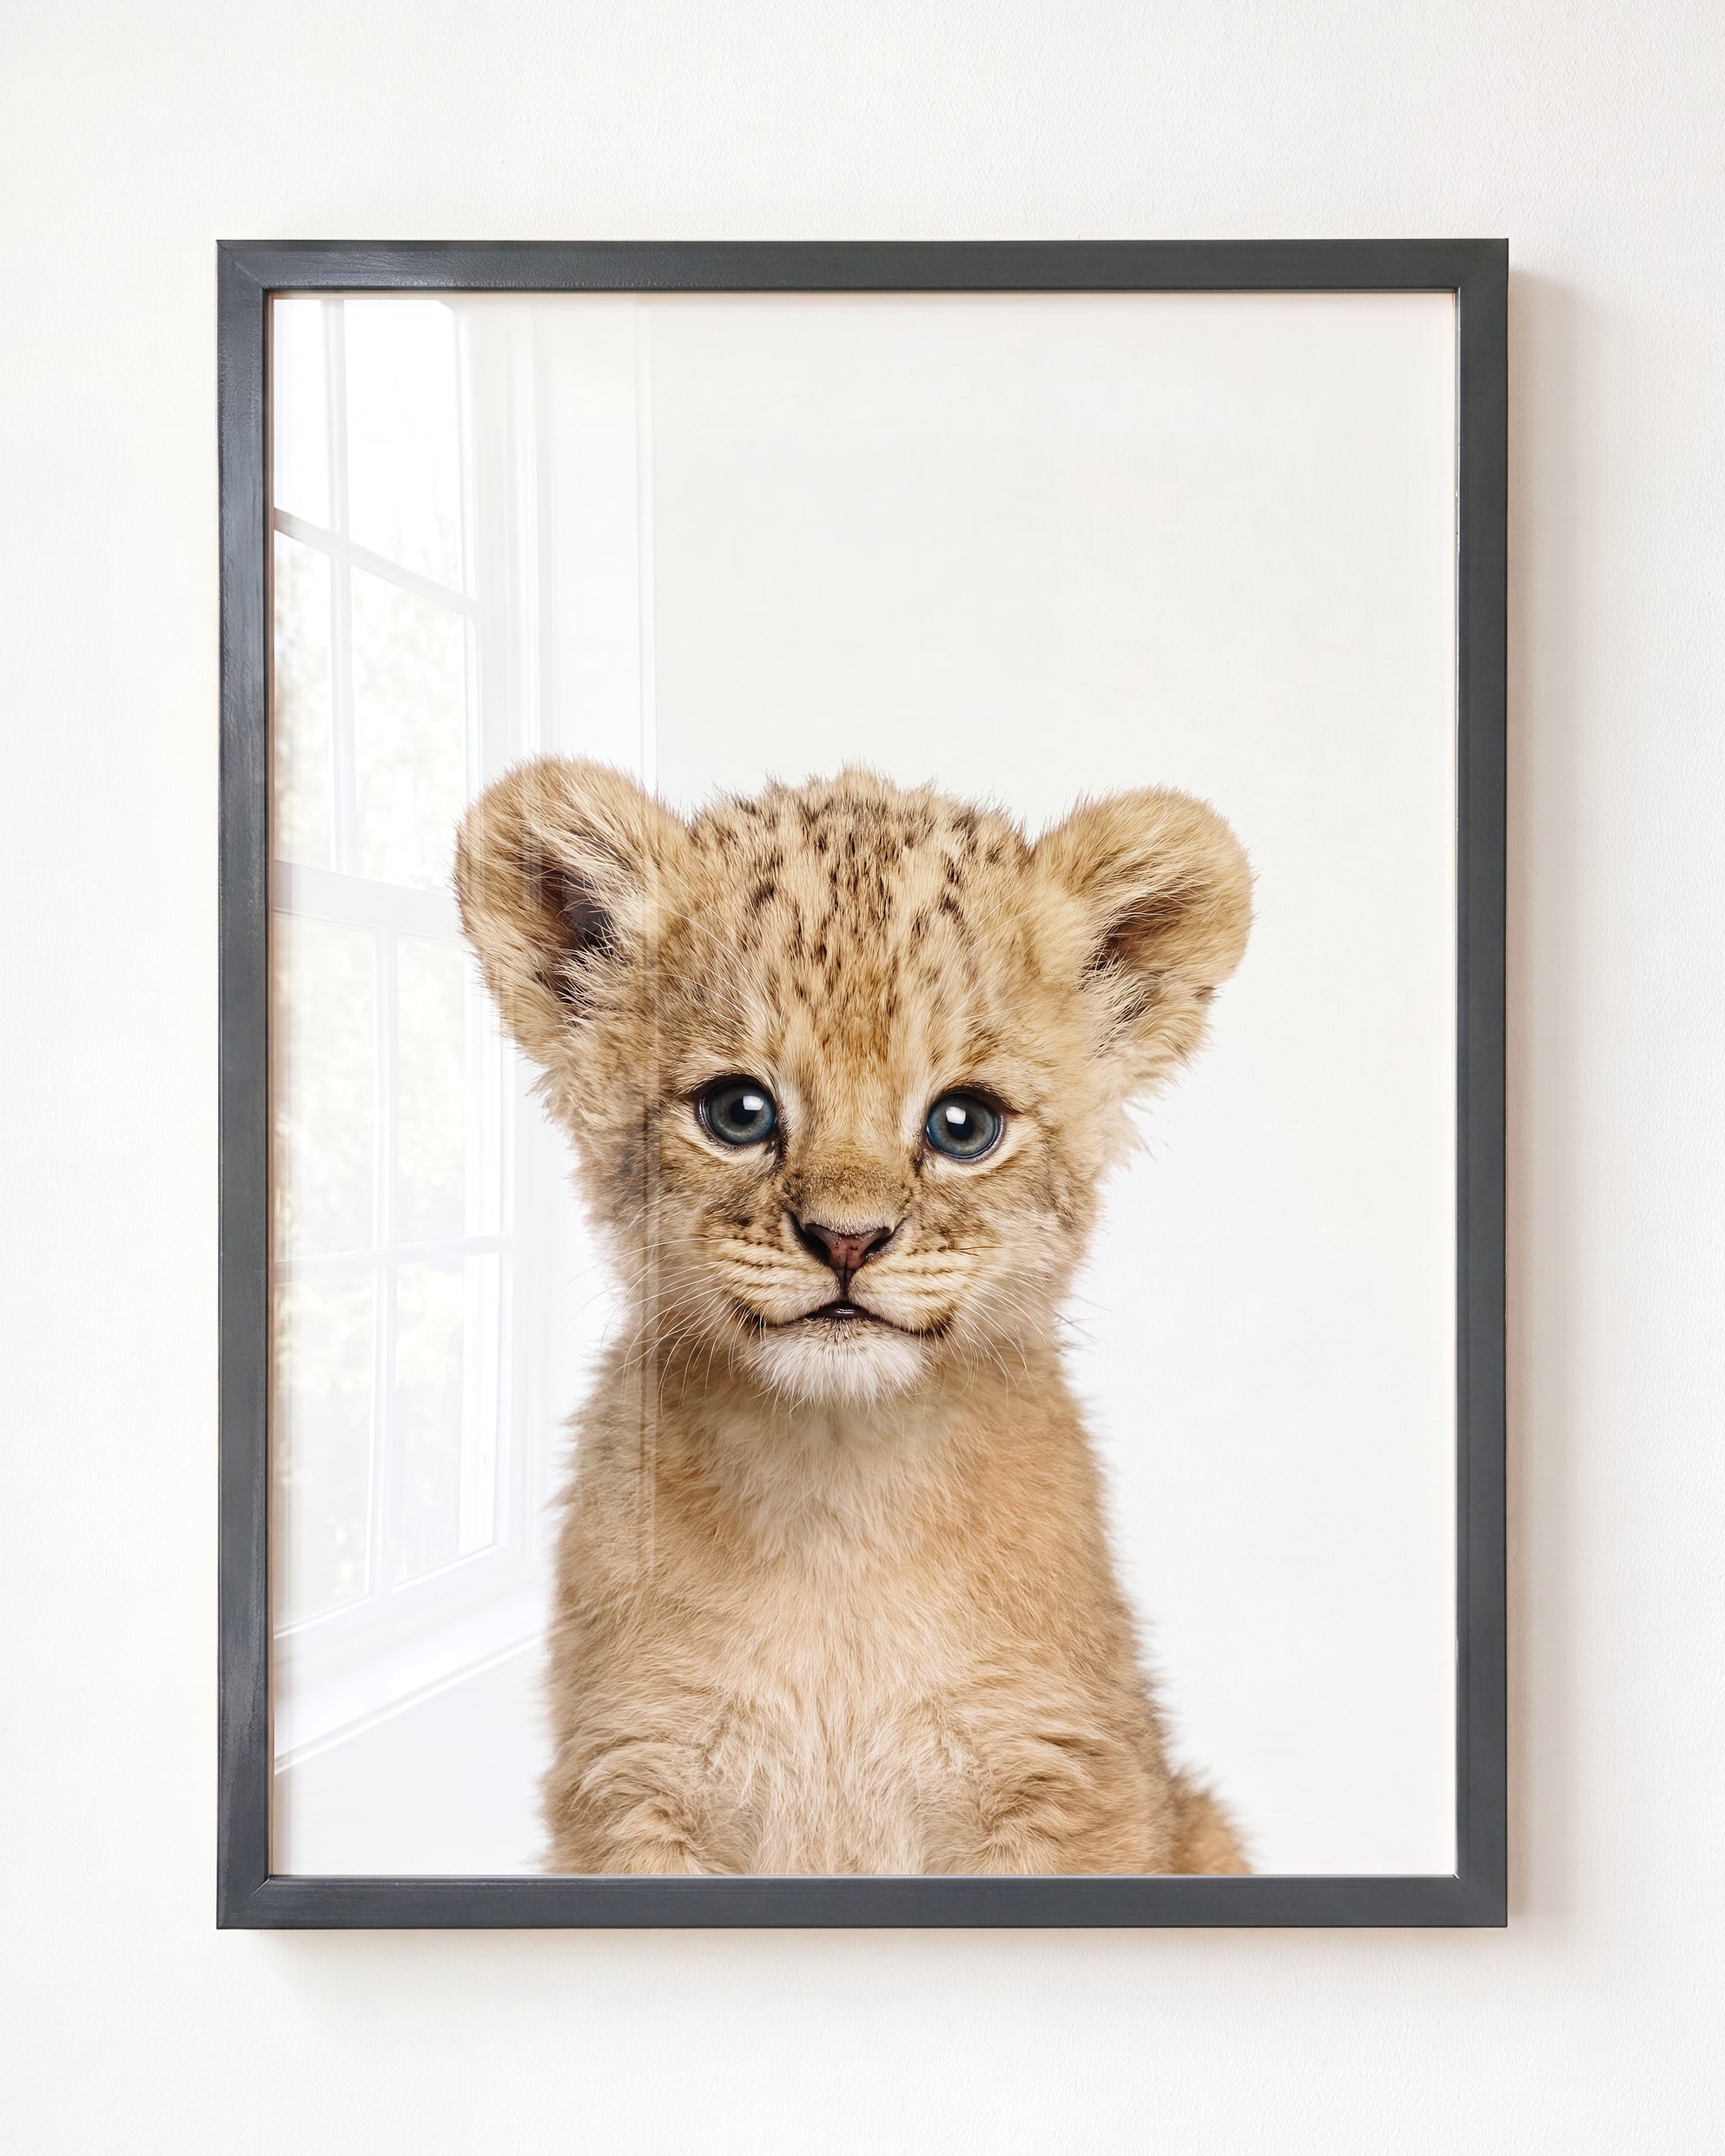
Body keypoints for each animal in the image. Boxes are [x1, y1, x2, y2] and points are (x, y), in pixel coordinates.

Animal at [455, 759, 1252, 1876]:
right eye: (738, 1112)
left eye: (964, 1125)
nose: (846, 1240)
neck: (837, 1499)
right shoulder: (634, 1782)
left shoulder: (1066, 1778)